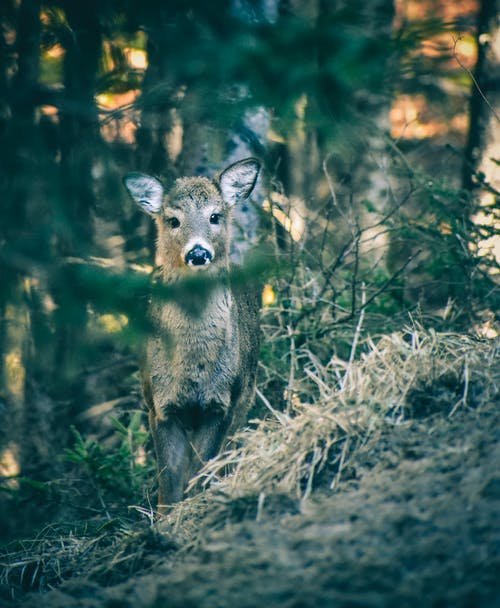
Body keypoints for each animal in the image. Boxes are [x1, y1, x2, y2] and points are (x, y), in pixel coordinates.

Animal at [124, 159, 262, 510]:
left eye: (215, 216)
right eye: (173, 220)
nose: (198, 253)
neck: (193, 370)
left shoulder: (222, 403)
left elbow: (202, 469)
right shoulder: (159, 404)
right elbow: (170, 479)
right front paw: (166, 518)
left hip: (246, 393)